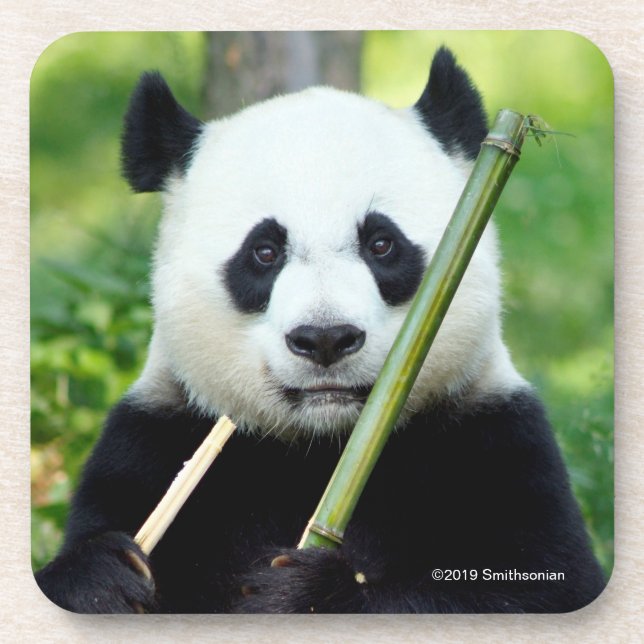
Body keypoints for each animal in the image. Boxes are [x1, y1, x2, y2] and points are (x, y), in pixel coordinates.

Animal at [35, 47, 606, 614]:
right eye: (264, 251)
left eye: (382, 244)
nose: (326, 339)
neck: (320, 448)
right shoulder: (153, 442)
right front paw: (103, 579)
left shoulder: (492, 442)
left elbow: (537, 585)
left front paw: (303, 590)